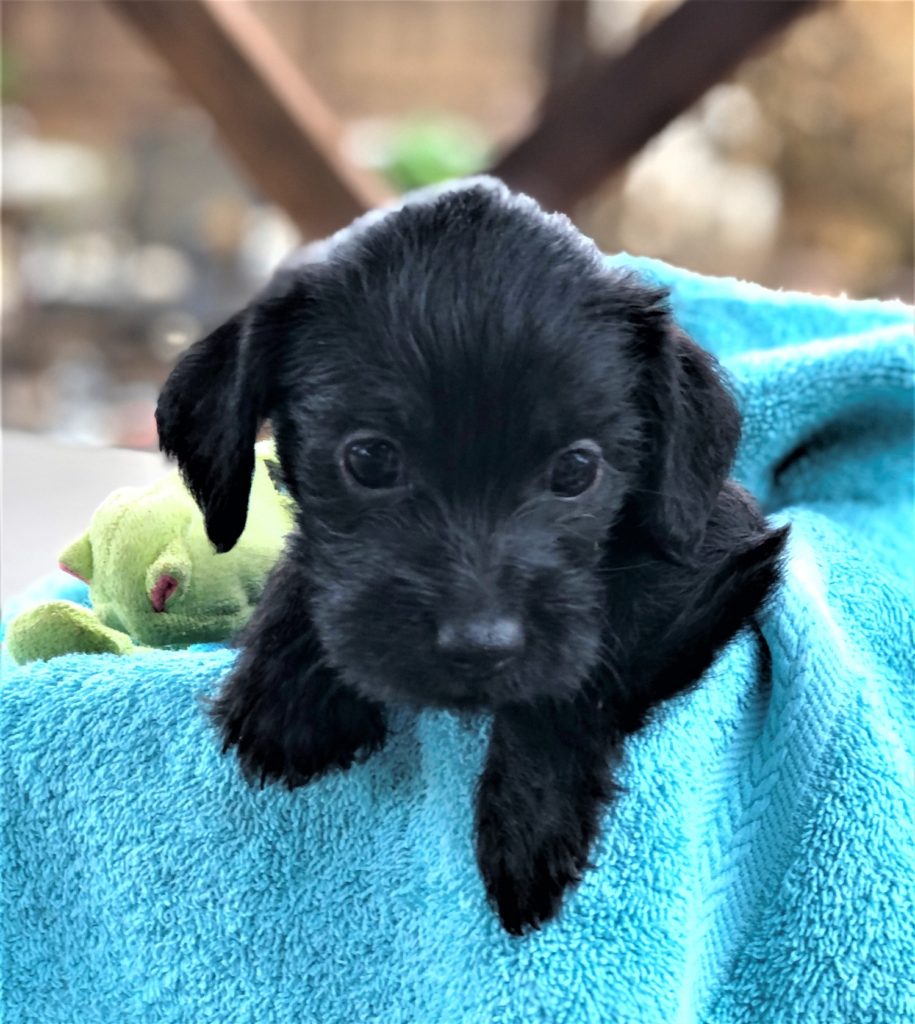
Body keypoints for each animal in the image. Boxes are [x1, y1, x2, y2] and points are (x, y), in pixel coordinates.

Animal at [156, 178, 788, 935]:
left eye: (576, 470)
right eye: (370, 458)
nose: (478, 645)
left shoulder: (715, 548)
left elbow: (586, 658)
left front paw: (529, 820)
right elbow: (304, 560)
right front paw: (286, 693)